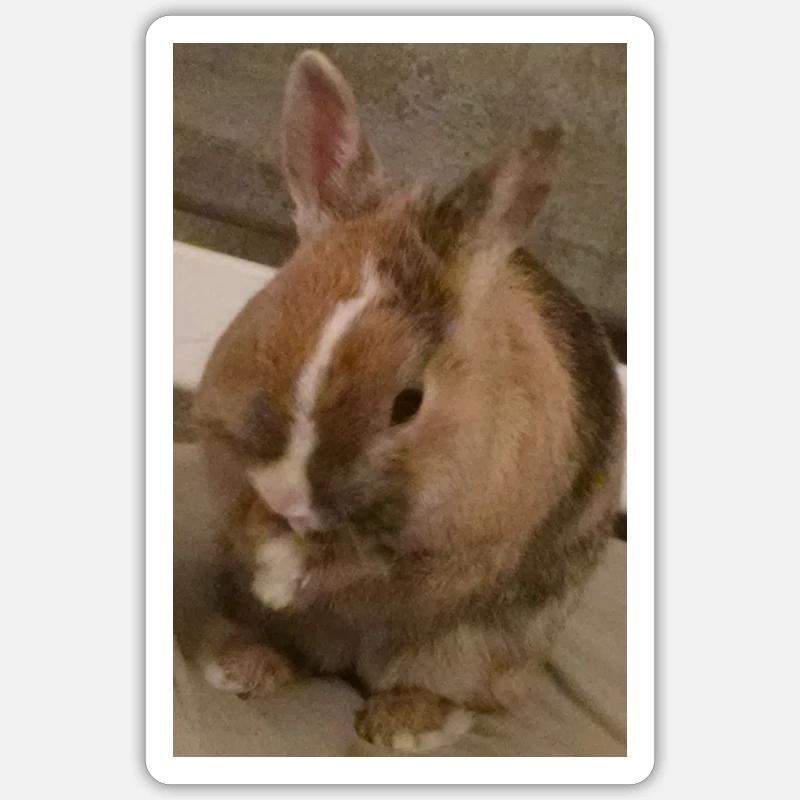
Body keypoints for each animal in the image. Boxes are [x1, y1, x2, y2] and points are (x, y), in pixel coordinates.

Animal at [191, 49, 625, 753]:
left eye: (409, 402)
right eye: (267, 322)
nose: (287, 494)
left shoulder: (449, 546)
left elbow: (362, 565)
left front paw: (284, 574)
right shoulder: (225, 457)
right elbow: (242, 514)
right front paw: (269, 559)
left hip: (476, 649)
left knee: (448, 687)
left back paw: (403, 726)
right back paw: (243, 662)